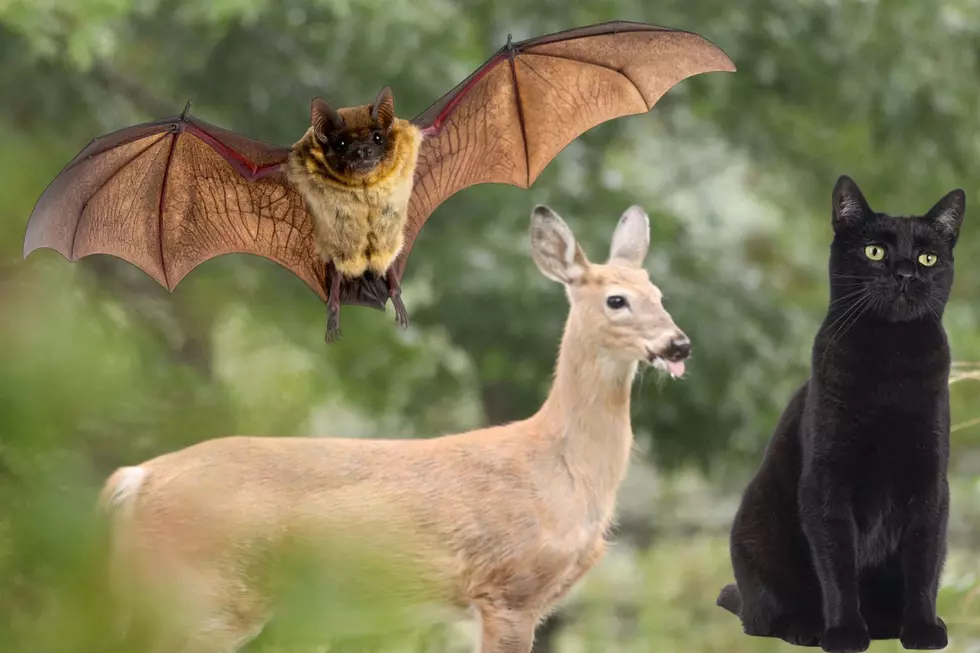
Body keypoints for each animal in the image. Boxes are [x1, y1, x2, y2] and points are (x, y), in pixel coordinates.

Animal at [99, 204, 693, 653]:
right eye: (616, 300)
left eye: (661, 294)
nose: (678, 344)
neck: (561, 467)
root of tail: (135, 480)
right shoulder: (509, 588)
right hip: (204, 598)